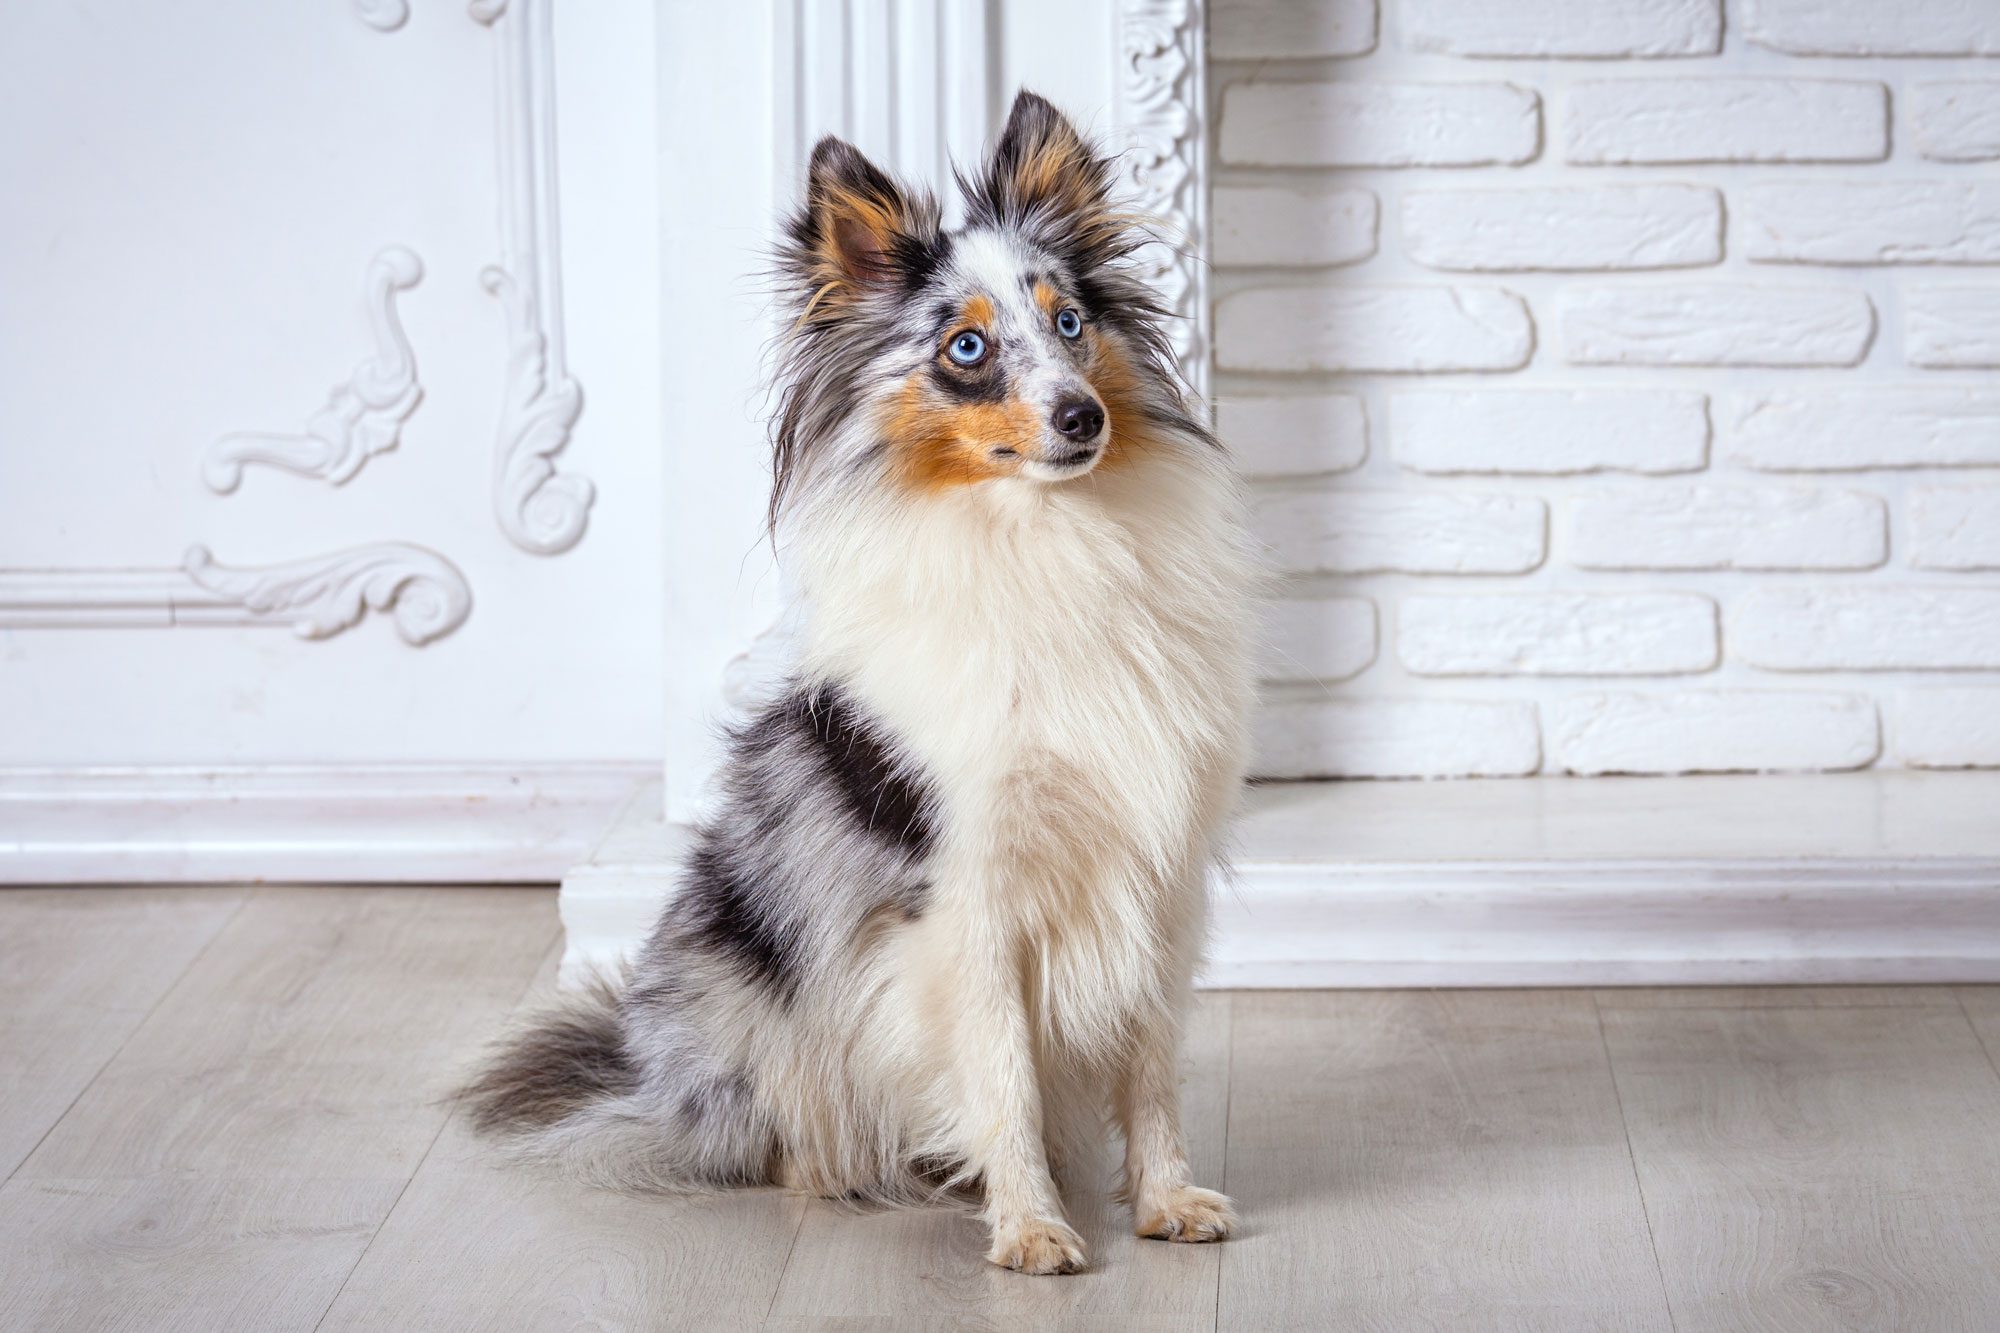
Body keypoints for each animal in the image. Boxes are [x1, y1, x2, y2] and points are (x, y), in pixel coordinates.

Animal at [466, 88, 1248, 1272]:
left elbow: (1150, 1066)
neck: (1046, 540)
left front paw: (1165, 1203)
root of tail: (641, 1076)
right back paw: (852, 1169)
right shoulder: (965, 897)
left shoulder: (1156, 877)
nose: (1083, 417)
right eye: (966, 346)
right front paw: (1030, 1229)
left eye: (1070, 323)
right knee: (778, 1134)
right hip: (741, 990)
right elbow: (1003, 1075)